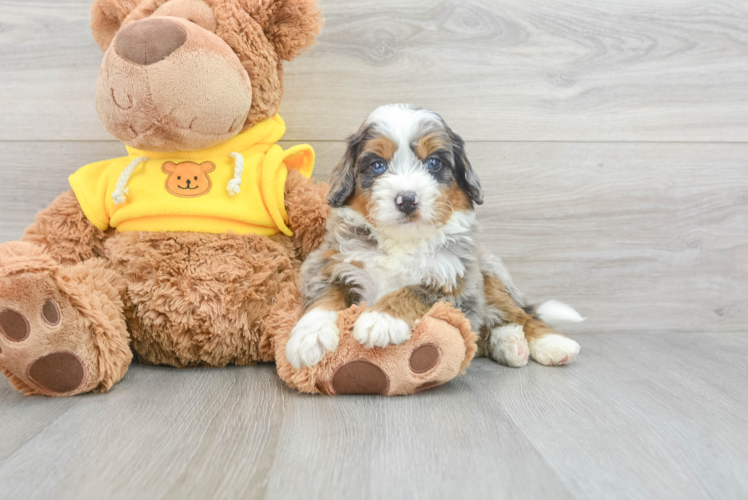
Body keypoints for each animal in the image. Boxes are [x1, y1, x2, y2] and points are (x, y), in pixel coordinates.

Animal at [286, 103, 584, 370]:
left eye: (433, 162)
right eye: (378, 165)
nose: (407, 200)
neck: (403, 241)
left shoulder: (458, 286)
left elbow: (414, 290)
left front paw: (381, 319)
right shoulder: (327, 263)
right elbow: (325, 296)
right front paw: (308, 337)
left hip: (490, 277)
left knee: (521, 314)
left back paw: (551, 343)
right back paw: (511, 343)